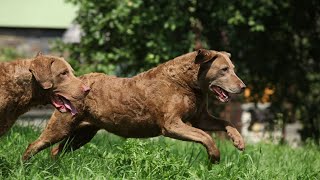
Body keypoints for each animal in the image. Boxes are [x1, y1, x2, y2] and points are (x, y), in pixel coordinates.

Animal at [23, 49, 245, 163]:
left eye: (233, 68)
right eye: (224, 70)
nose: (243, 86)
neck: (188, 84)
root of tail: (78, 82)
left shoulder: (200, 118)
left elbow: (225, 122)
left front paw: (239, 141)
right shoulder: (172, 125)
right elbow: (205, 136)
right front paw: (214, 156)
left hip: (83, 134)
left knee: (56, 151)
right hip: (61, 126)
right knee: (34, 145)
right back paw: (25, 166)